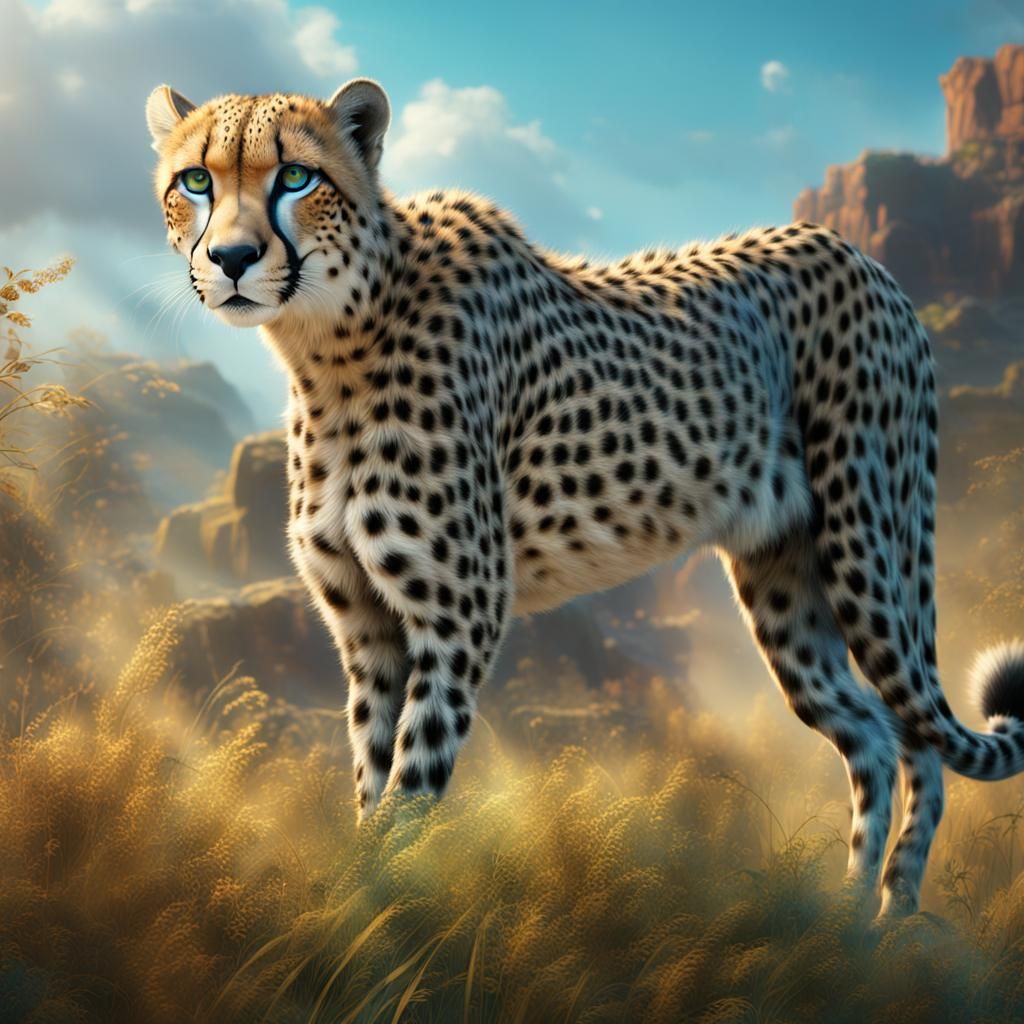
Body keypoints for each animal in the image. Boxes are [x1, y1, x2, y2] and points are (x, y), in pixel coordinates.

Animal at [146, 78, 1024, 916]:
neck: (329, 343)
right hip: (786, 594)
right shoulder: (369, 634)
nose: (231, 257)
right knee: (872, 735)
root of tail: (868, 261)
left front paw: (369, 923)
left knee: (918, 738)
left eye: (296, 177)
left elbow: (407, 800)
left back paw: (894, 920)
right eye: (196, 180)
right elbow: (370, 788)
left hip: (869, 555)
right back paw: (843, 926)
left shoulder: (458, 620)